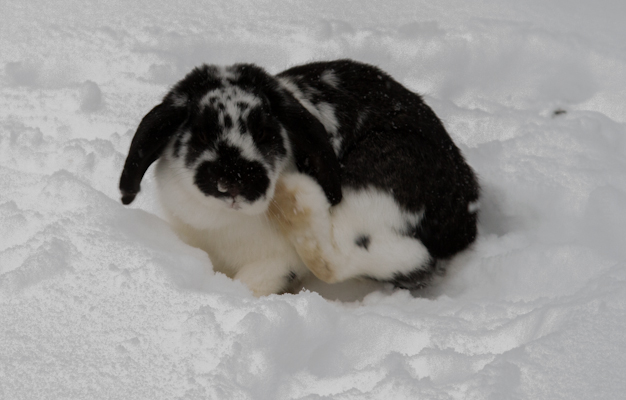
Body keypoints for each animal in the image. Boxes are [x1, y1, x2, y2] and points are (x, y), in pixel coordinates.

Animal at [118, 60, 478, 296]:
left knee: (374, 259)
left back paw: (295, 197)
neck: (222, 223)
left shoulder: (278, 262)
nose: (236, 180)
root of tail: (462, 218)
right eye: (202, 134)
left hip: (378, 185)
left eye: (266, 133)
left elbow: (253, 281)